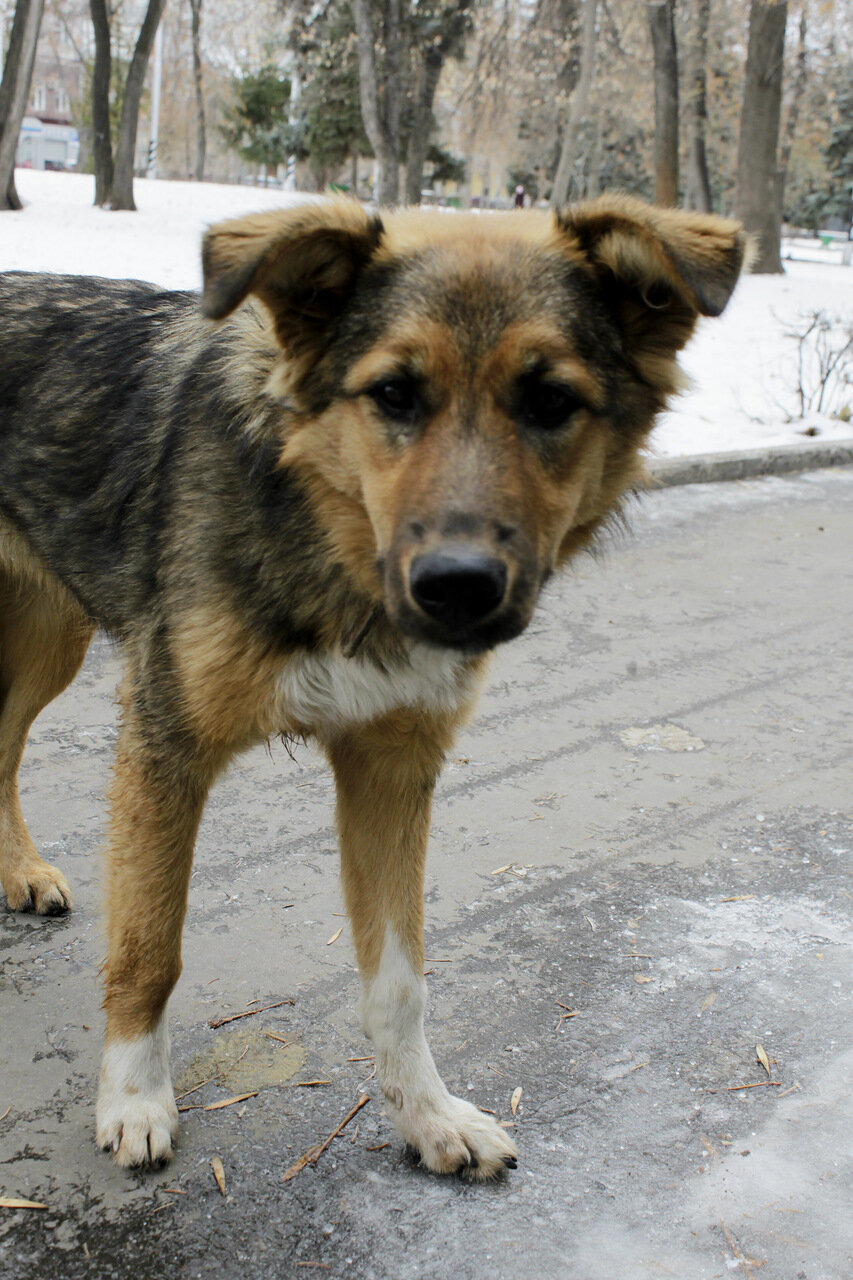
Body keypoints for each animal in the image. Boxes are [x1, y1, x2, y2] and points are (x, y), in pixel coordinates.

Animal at [0, 194, 742, 1182]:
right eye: (393, 394)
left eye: (551, 402)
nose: (458, 587)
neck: (326, 529)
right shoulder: (166, 746)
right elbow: (150, 945)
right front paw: (134, 1099)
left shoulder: (391, 769)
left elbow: (399, 982)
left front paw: (428, 1117)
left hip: (54, 638)